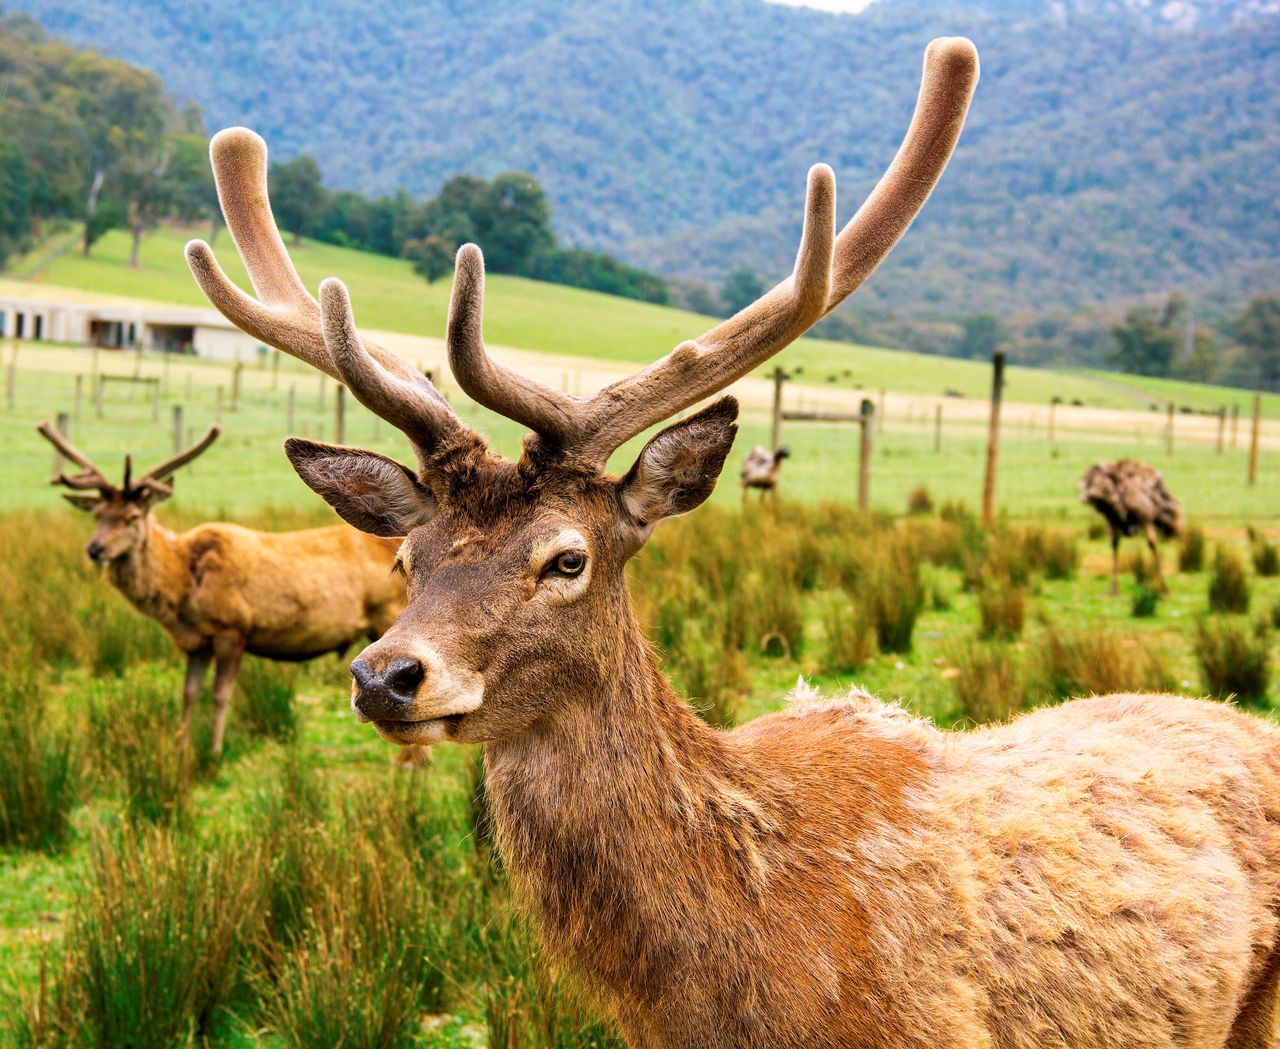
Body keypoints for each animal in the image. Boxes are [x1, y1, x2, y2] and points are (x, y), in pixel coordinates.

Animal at [36, 423, 413, 761]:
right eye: (98, 515)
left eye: (131, 517)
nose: (94, 549)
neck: (183, 590)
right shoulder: (196, 641)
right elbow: (188, 693)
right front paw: (181, 749)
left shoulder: (232, 628)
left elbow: (220, 695)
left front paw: (214, 753)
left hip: (384, 612)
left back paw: (407, 764)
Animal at [1080, 459, 1185, 595]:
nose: (1086, 496)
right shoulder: (1138, 518)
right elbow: (1148, 543)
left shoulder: (1141, 518)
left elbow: (1150, 543)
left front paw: (1163, 588)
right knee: (1122, 544)